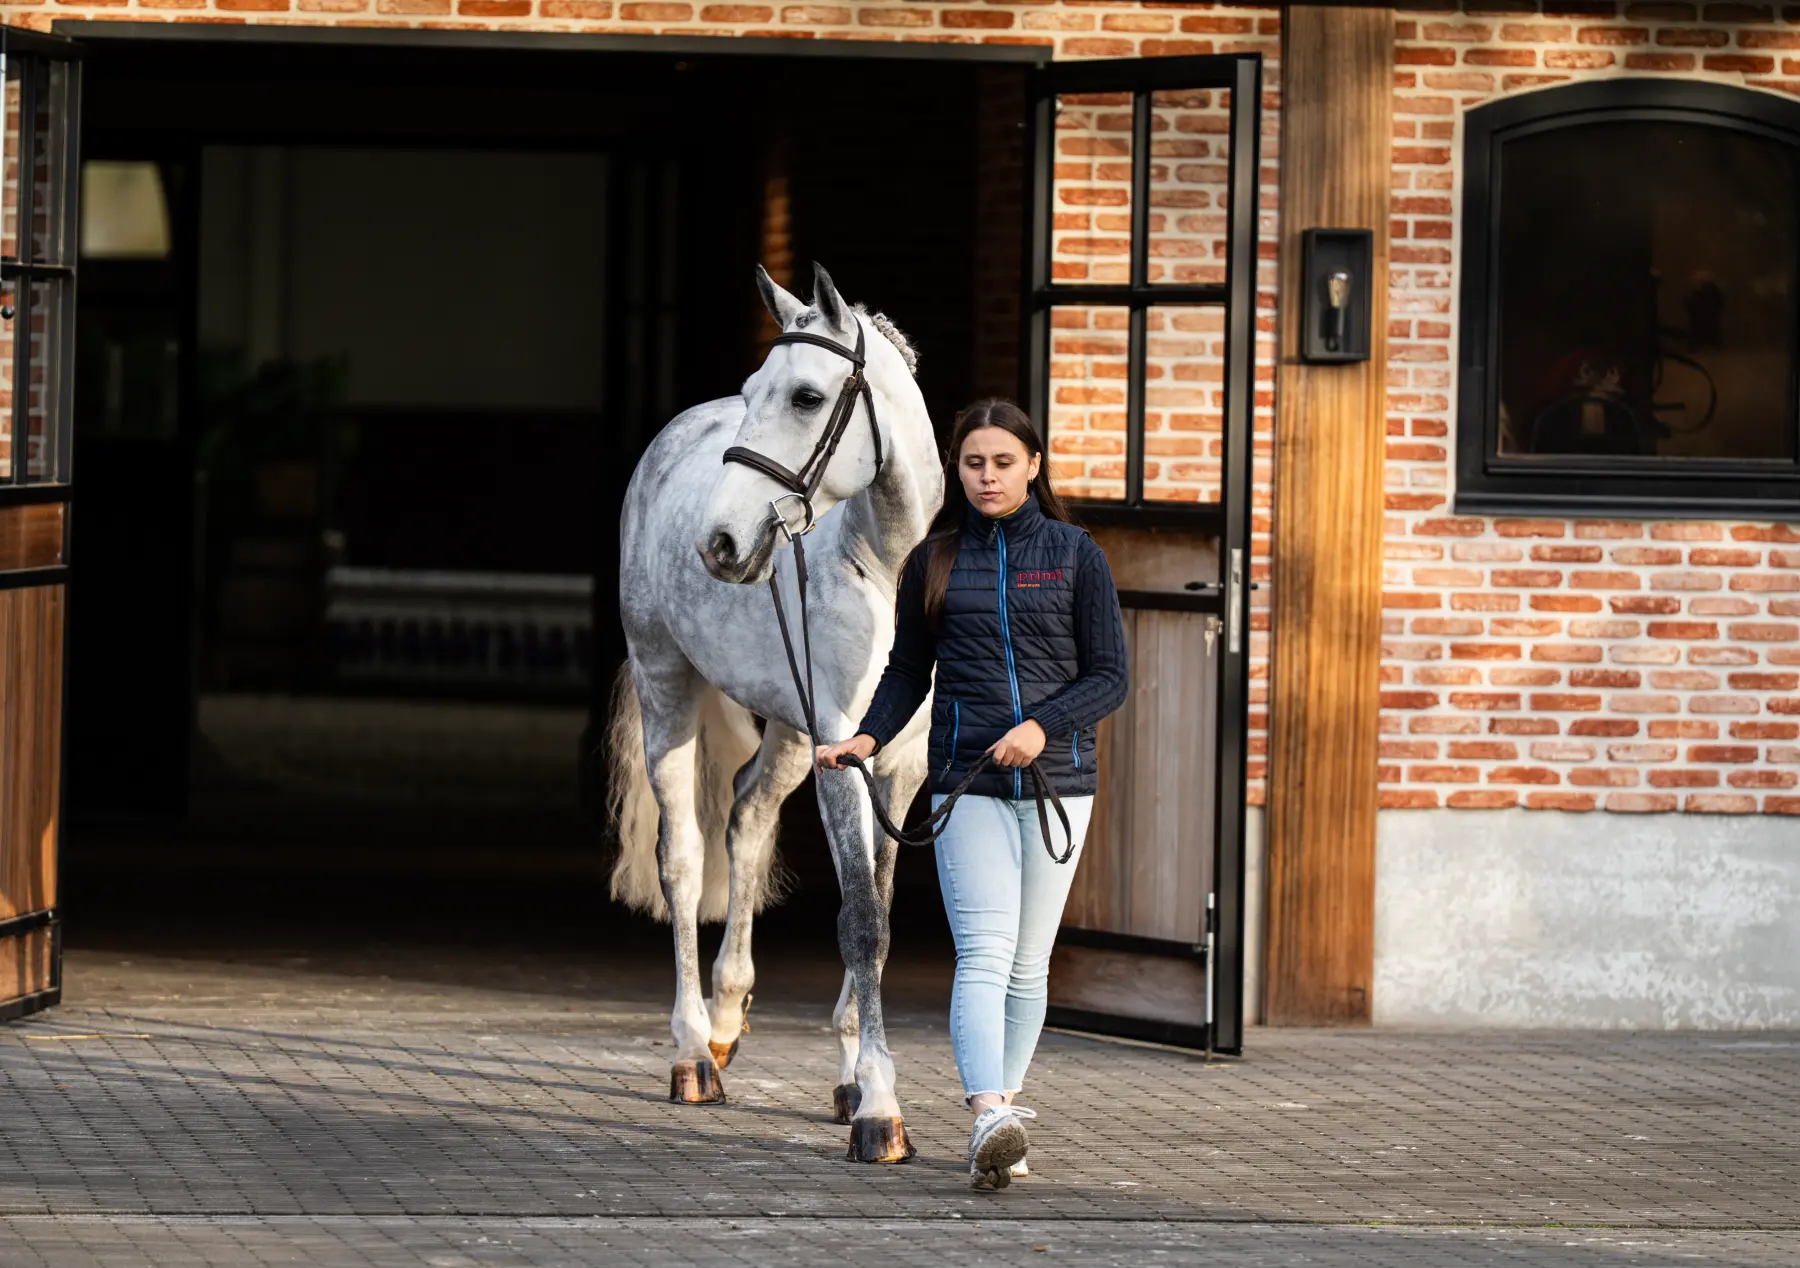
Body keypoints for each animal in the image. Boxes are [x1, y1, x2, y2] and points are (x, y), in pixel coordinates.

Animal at [606, 263, 943, 1162]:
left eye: (804, 395)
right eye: (757, 389)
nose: (720, 543)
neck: (884, 569)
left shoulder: (900, 770)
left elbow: (879, 910)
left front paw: (855, 1077)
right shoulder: (844, 760)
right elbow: (861, 920)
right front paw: (880, 1112)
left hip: (791, 737)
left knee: (749, 819)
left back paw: (727, 1018)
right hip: (669, 691)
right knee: (685, 859)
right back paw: (694, 1053)